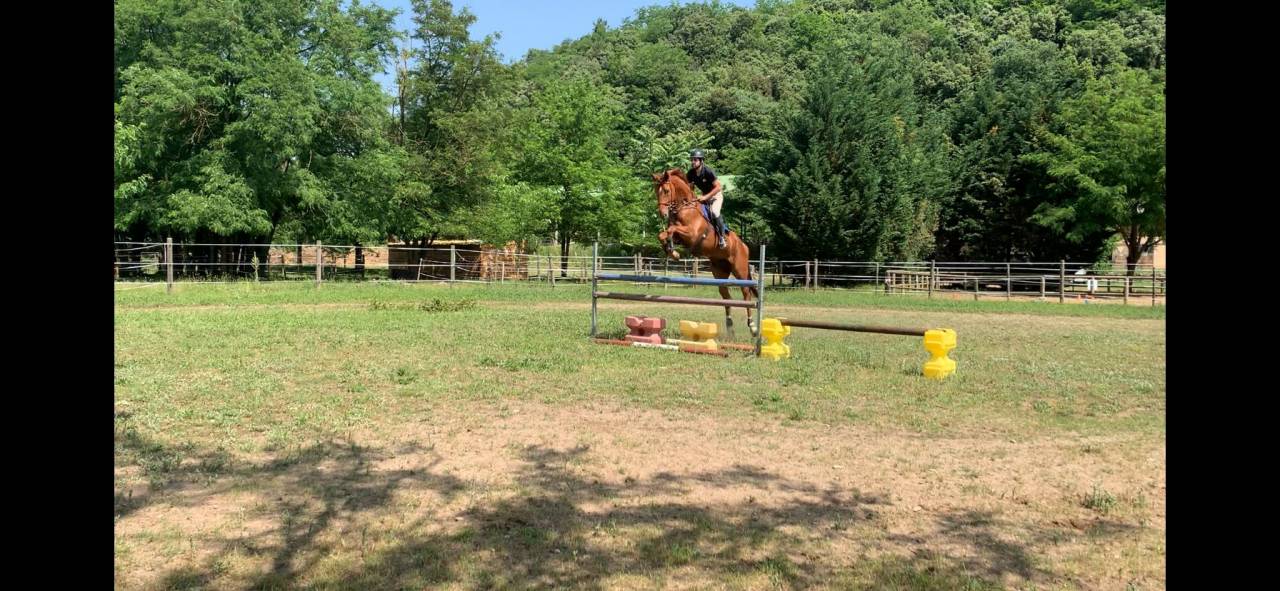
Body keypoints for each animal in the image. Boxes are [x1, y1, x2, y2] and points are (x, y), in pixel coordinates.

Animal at [652, 168, 759, 337]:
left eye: (667, 191)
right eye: (657, 191)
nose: (663, 214)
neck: (684, 208)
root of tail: (744, 245)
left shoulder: (692, 234)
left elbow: (671, 229)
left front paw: (672, 251)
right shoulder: (680, 237)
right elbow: (663, 234)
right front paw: (672, 252)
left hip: (740, 269)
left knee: (746, 293)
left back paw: (753, 327)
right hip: (719, 270)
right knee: (726, 296)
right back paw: (730, 327)